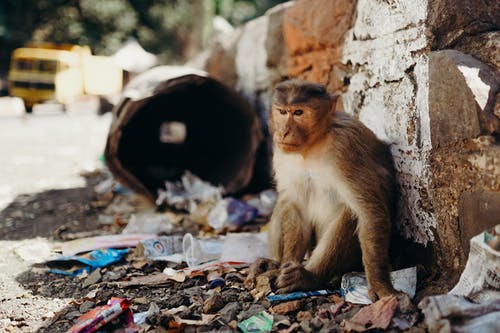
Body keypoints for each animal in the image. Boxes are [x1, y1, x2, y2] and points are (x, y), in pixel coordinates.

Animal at [248, 79, 400, 300]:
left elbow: (369, 212)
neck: (313, 144)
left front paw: (380, 284)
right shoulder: (281, 151)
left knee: (350, 213)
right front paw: (285, 264)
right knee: (285, 202)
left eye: (298, 113)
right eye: (283, 112)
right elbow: (296, 205)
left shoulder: (345, 149)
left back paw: (308, 277)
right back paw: (273, 264)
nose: (283, 132)